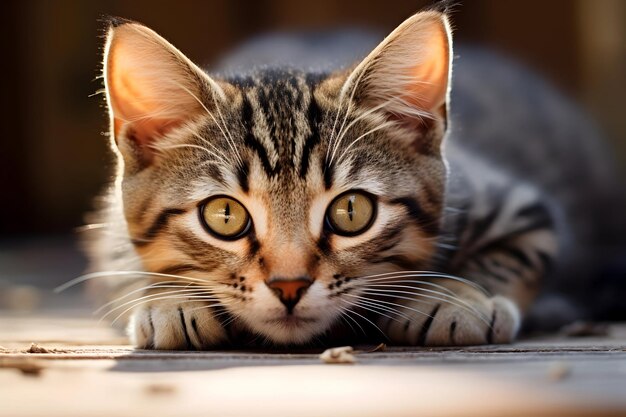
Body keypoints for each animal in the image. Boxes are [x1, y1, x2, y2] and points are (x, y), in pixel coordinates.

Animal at [84, 6, 620, 348]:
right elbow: (124, 263)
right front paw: (169, 300)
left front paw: (456, 297)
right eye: (224, 216)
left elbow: (514, 257)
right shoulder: (108, 230)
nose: (289, 286)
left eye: (351, 211)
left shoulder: (517, 204)